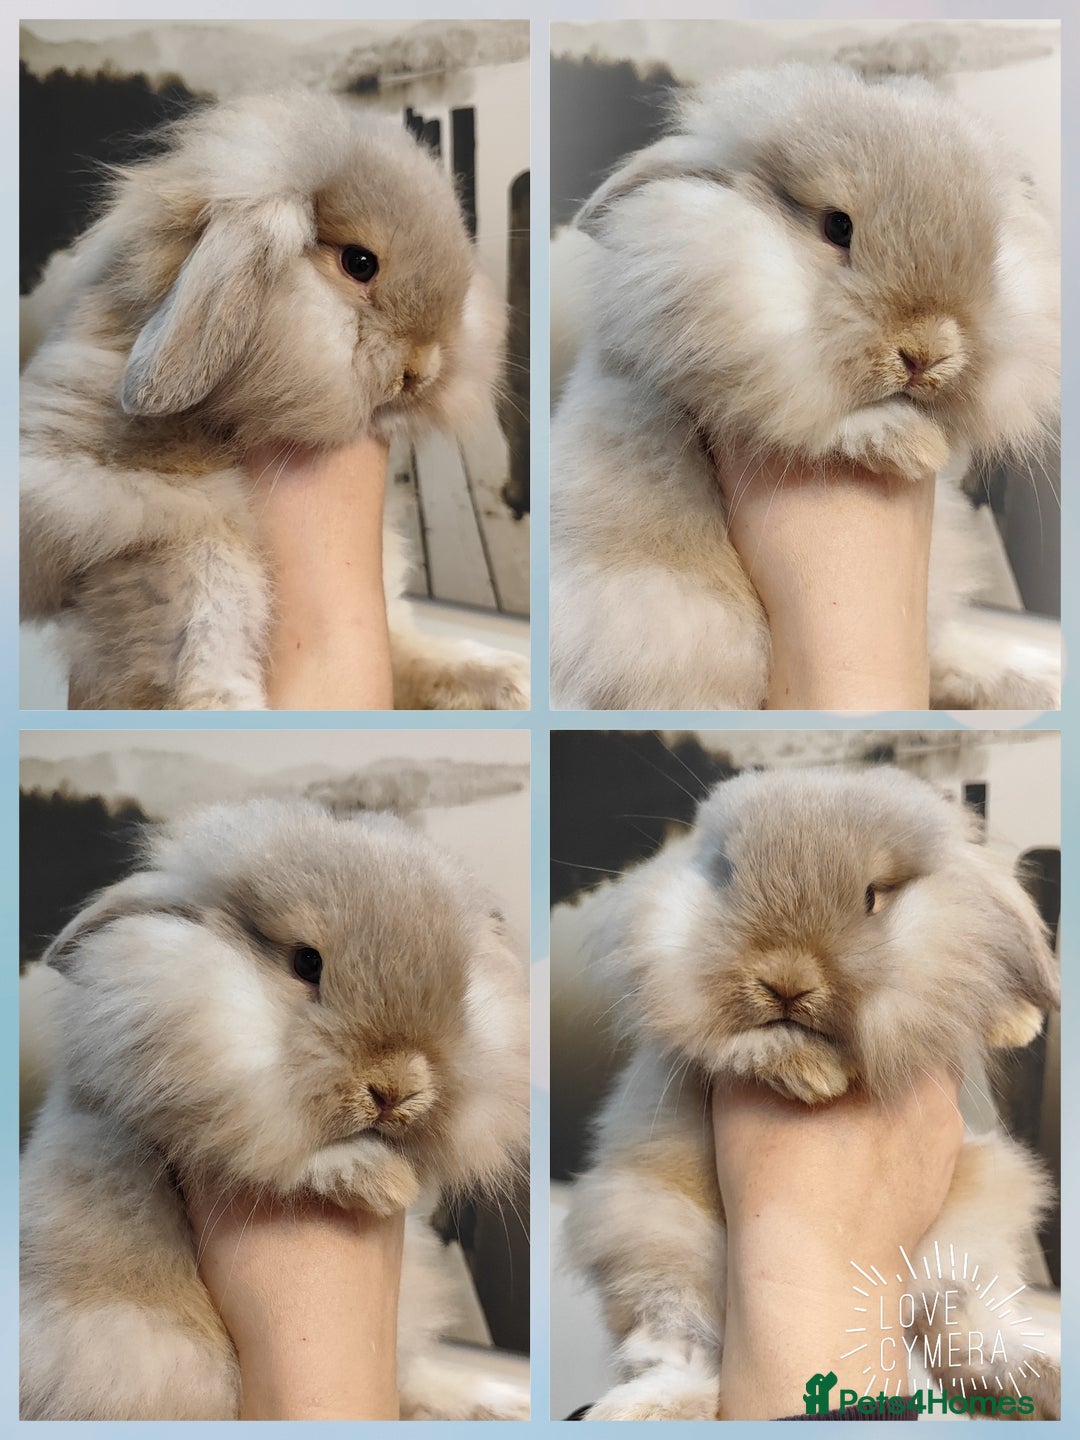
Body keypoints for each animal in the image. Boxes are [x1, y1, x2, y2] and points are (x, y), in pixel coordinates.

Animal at [20, 799, 530, 1420]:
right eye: (306, 963)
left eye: (461, 987)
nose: (396, 1089)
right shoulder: (213, 1125)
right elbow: (295, 1161)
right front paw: (386, 1182)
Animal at [550, 65, 1060, 710]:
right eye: (837, 226)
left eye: (992, 250)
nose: (927, 353)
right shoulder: (746, 387)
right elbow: (827, 424)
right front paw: (913, 445)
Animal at [562, 765, 1060, 1419]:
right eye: (727, 876)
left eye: (873, 896)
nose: (785, 981)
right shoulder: (697, 1032)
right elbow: (746, 1045)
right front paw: (816, 1076)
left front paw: (1017, 1024)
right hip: (654, 1243)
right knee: (683, 1359)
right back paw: (639, 1409)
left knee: (969, 1340)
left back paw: (1042, 1374)